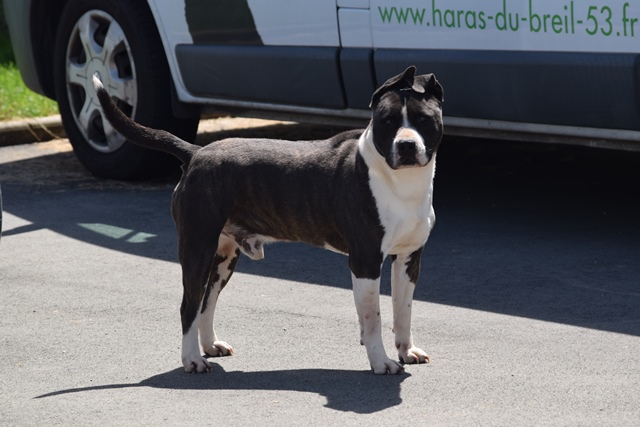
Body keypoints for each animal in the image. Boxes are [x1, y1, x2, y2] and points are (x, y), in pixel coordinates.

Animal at [92, 66, 444, 374]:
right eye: (387, 121)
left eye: (424, 120)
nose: (407, 145)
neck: (400, 182)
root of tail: (195, 153)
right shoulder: (365, 261)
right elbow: (373, 318)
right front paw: (381, 362)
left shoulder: (409, 258)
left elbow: (403, 311)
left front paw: (406, 351)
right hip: (197, 248)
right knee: (189, 305)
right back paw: (192, 359)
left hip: (223, 257)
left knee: (207, 300)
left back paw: (210, 346)